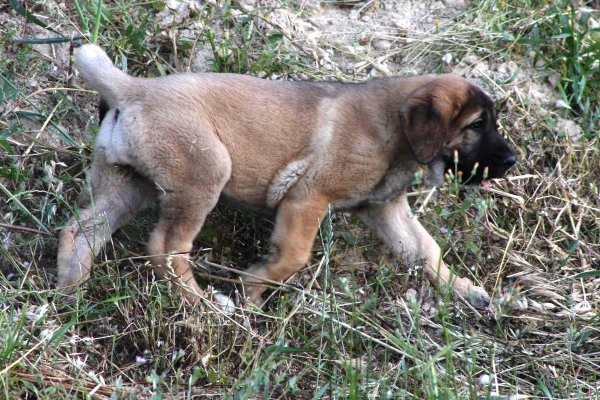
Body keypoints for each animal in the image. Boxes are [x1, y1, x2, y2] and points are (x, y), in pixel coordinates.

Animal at [57, 46, 516, 310]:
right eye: (477, 125)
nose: (512, 160)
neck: (392, 129)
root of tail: (132, 89)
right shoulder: (307, 197)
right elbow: (294, 255)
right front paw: (252, 288)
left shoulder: (385, 208)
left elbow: (425, 249)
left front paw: (463, 288)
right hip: (204, 174)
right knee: (167, 248)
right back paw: (202, 305)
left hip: (127, 184)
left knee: (80, 231)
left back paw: (70, 292)